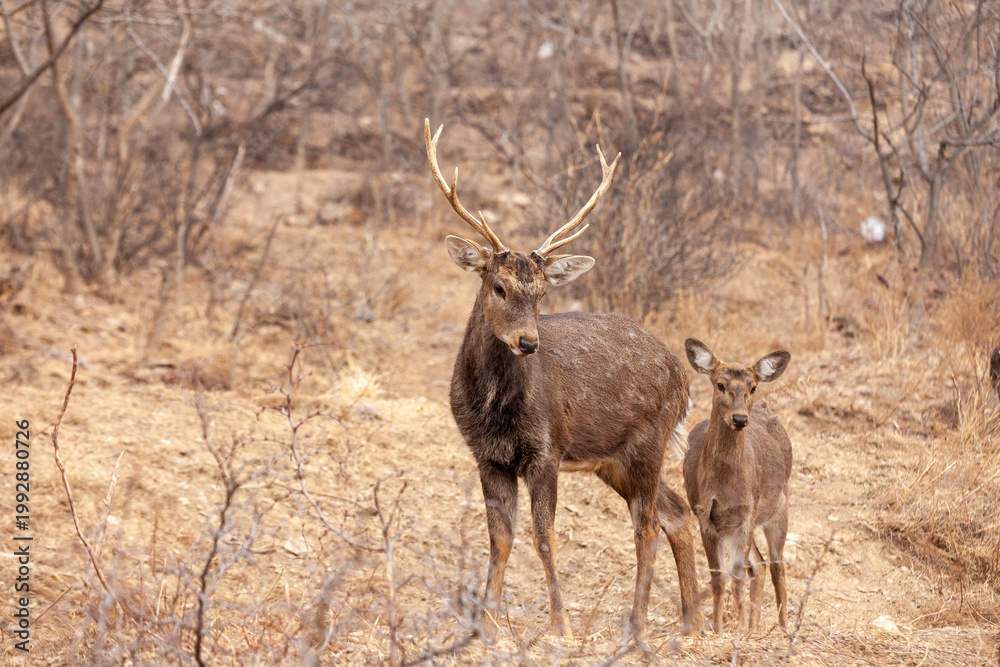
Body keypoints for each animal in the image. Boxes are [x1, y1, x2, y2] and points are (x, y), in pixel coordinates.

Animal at [425, 119, 703, 641]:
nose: (528, 342)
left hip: (648, 441)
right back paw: (693, 621)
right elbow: (500, 539)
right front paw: (485, 623)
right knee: (677, 513)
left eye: (541, 293)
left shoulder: (547, 449)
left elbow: (544, 537)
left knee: (648, 525)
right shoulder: (486, 456)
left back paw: (638, 623)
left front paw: (561, 624)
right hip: (613, 459)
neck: (493, 410)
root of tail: (683, 379)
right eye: (498, 286)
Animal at [682, 338, 792, 635]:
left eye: (752, 387)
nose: (740, 419)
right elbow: (718, 579)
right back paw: (755, 627)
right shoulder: (704, 516)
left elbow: (737, 578)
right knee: (761, 565)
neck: (725, 486)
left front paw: (738, 631)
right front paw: (718, 629)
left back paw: (783, 628)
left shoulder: (747, 512)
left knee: (777, 565)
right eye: (720, 384)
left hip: (778, 508)